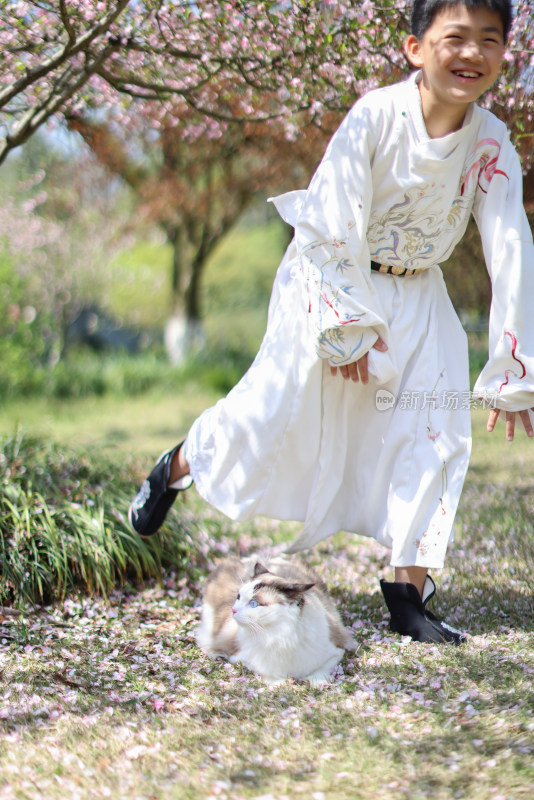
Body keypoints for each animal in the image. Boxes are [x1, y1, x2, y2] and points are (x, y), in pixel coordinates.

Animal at [197, 556, 356, 680]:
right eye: (238, 597)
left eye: (254, 604)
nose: (233, 610)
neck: (280, 636)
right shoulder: (239, 657)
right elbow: (268, 673)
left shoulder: (337, 650)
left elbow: (320, 673)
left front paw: (314, 682)